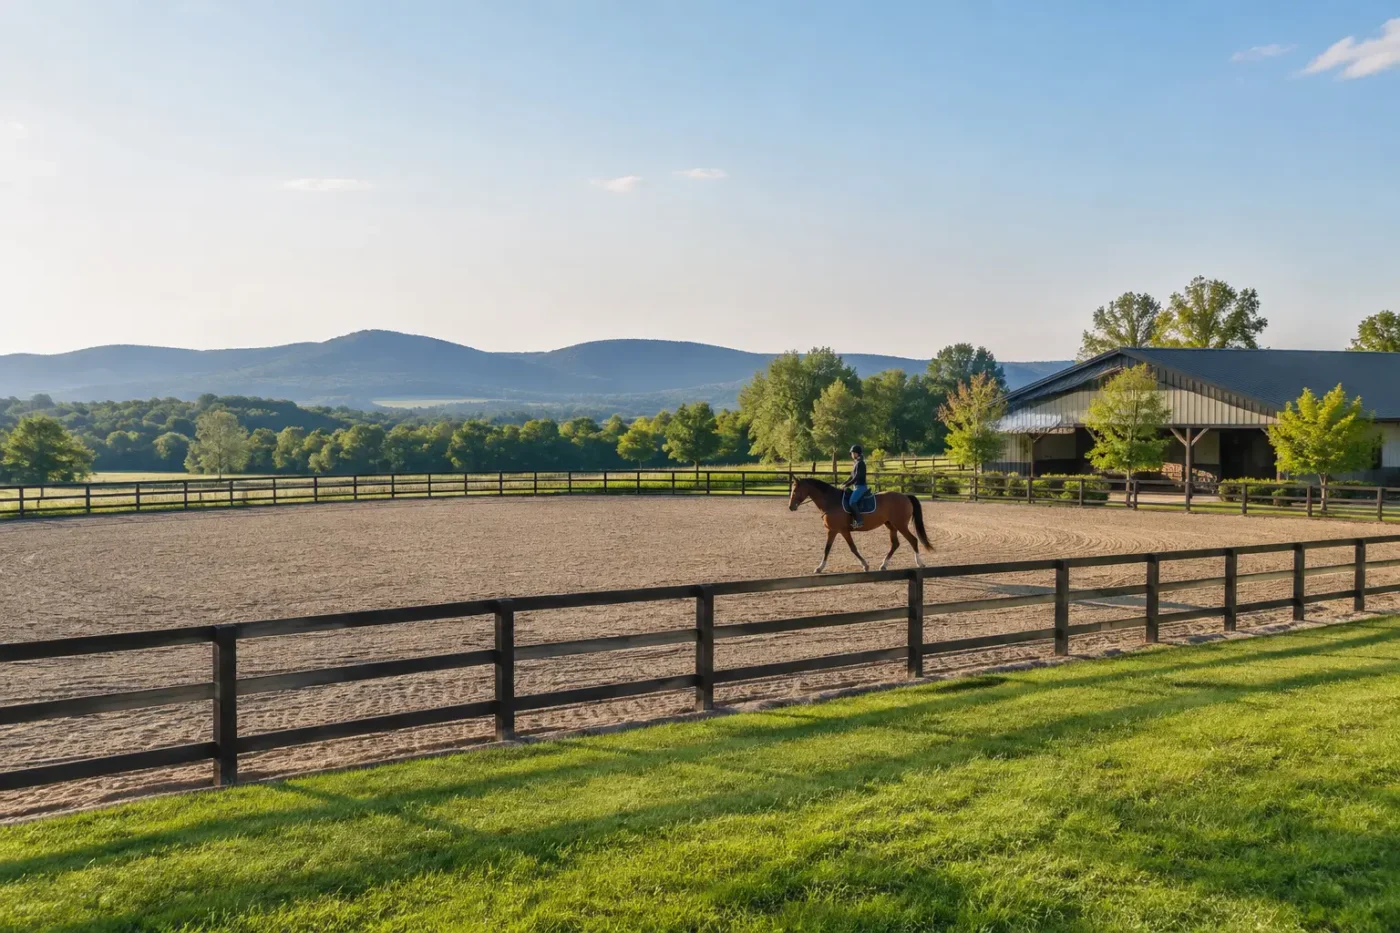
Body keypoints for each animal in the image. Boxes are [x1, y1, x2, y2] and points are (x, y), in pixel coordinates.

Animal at [787, 476, 933, 573]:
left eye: (795, 491)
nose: (791, 507)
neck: (831, 501)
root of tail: (905, 496)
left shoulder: (843, 530)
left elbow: (853, 548)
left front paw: (865, 565)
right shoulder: (833, 530)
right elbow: (827, 549)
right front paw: (820, 567)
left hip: (900, 525)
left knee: (913, 540)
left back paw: (920, 563)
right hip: (891, 525)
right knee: (895, 544)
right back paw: (884, 565)